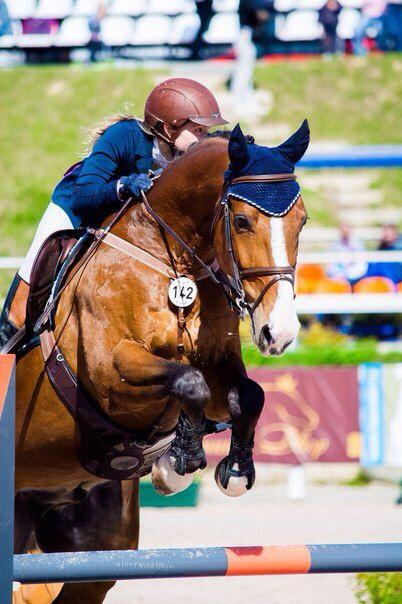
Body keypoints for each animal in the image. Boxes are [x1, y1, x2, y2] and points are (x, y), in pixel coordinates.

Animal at [13, 122, 309, 603]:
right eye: (242, 221)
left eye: (302, 220)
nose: (279, 333)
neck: (172, 258)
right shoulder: (109, 373)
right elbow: (187, 382)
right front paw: (181, 459)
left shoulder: (218, 362)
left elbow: (246, 394)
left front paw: (233, 470)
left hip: (89, 545)